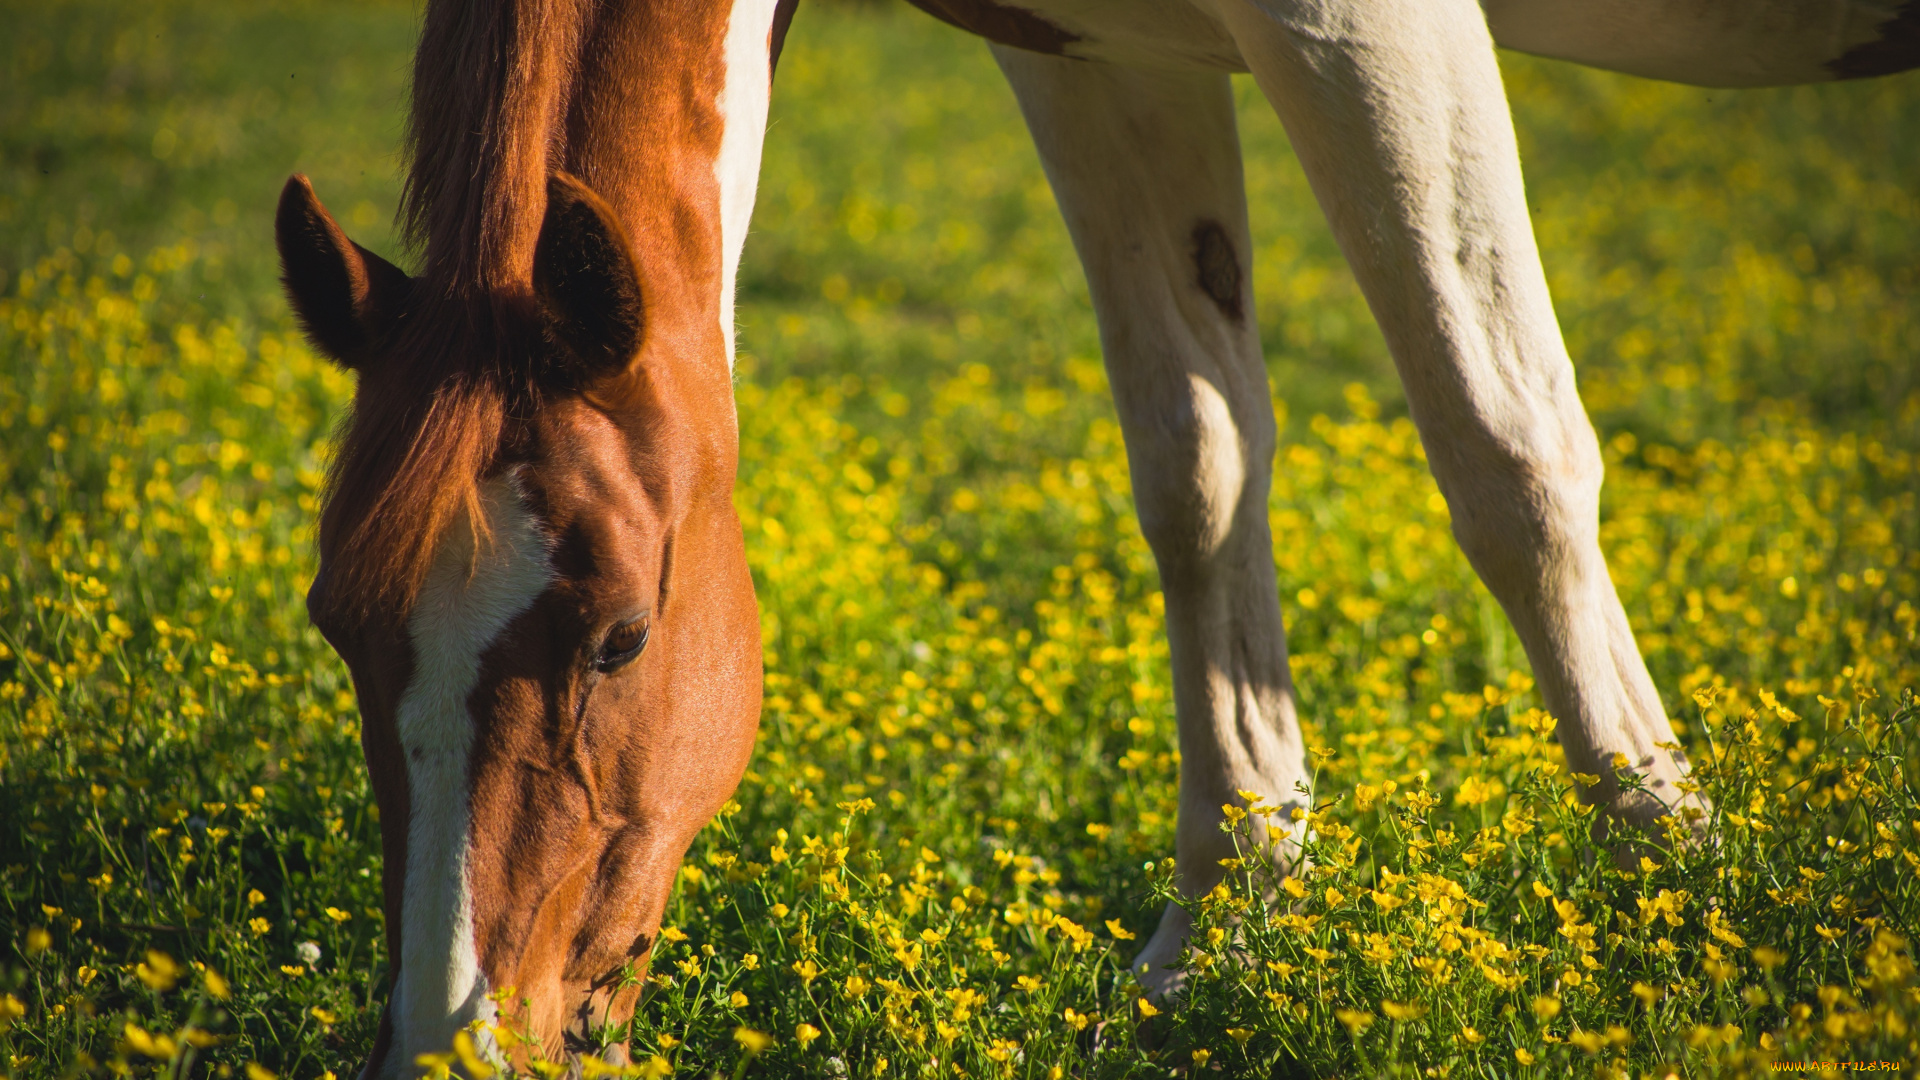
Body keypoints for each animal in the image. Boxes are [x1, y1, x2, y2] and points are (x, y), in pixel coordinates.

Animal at [274, 0, 1920, 1060]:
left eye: (620, 639)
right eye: (337, 632)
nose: (450, 1046)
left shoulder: (1361, 27)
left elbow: (1505, 439)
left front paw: (1688, 893)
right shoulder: (1094, 55)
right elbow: (1199, 462)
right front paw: (1225, 931)